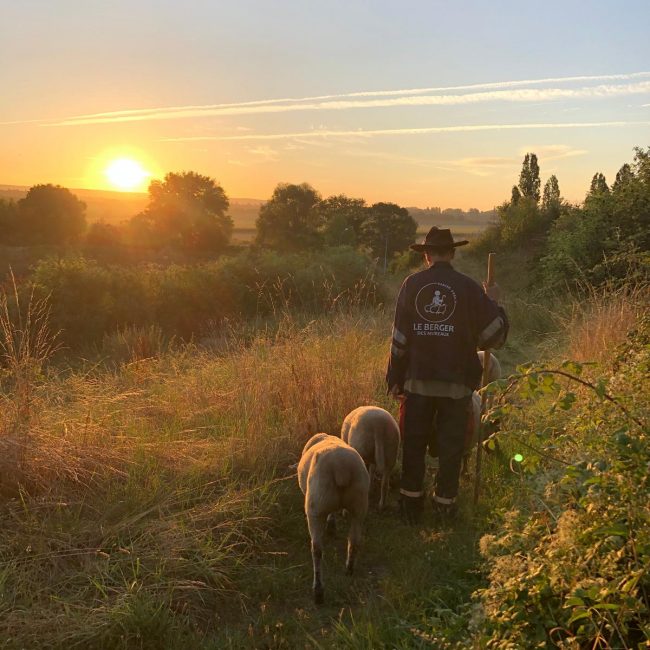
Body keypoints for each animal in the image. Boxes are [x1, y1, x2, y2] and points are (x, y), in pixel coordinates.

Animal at [296, 430, 368, 604]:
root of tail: (341, 467)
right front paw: (332, 526)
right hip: (359, 504)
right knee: (354, 541)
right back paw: (349, 569)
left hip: (315, 506)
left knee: (317, 550)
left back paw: (318, 592)